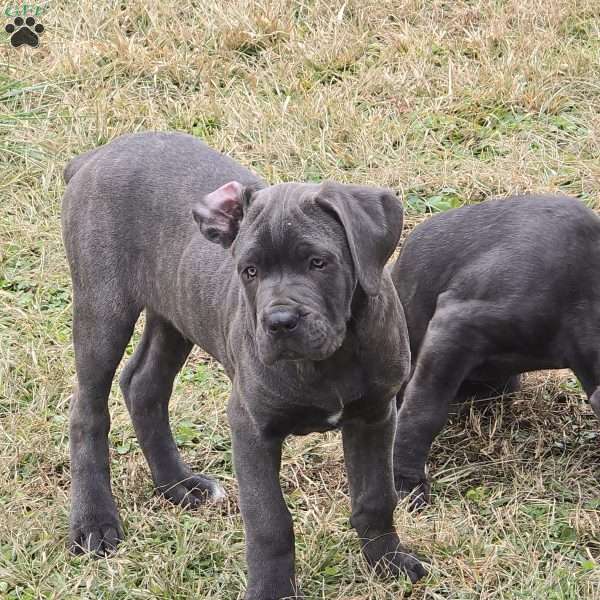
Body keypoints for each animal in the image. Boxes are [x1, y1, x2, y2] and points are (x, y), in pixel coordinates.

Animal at [62, 132, 426, 600]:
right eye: (249, 271)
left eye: (318, 262)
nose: (280, 322)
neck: (331, 359)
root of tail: (95, 155)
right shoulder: (251, 427)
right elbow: (270, 523)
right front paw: (272, 590)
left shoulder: (375, 415)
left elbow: (376, 497)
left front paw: (387, 561)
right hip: (103, 307)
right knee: (88, 410)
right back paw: (94, 522)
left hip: (175, 310)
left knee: (143, 385)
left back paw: (178, 485)